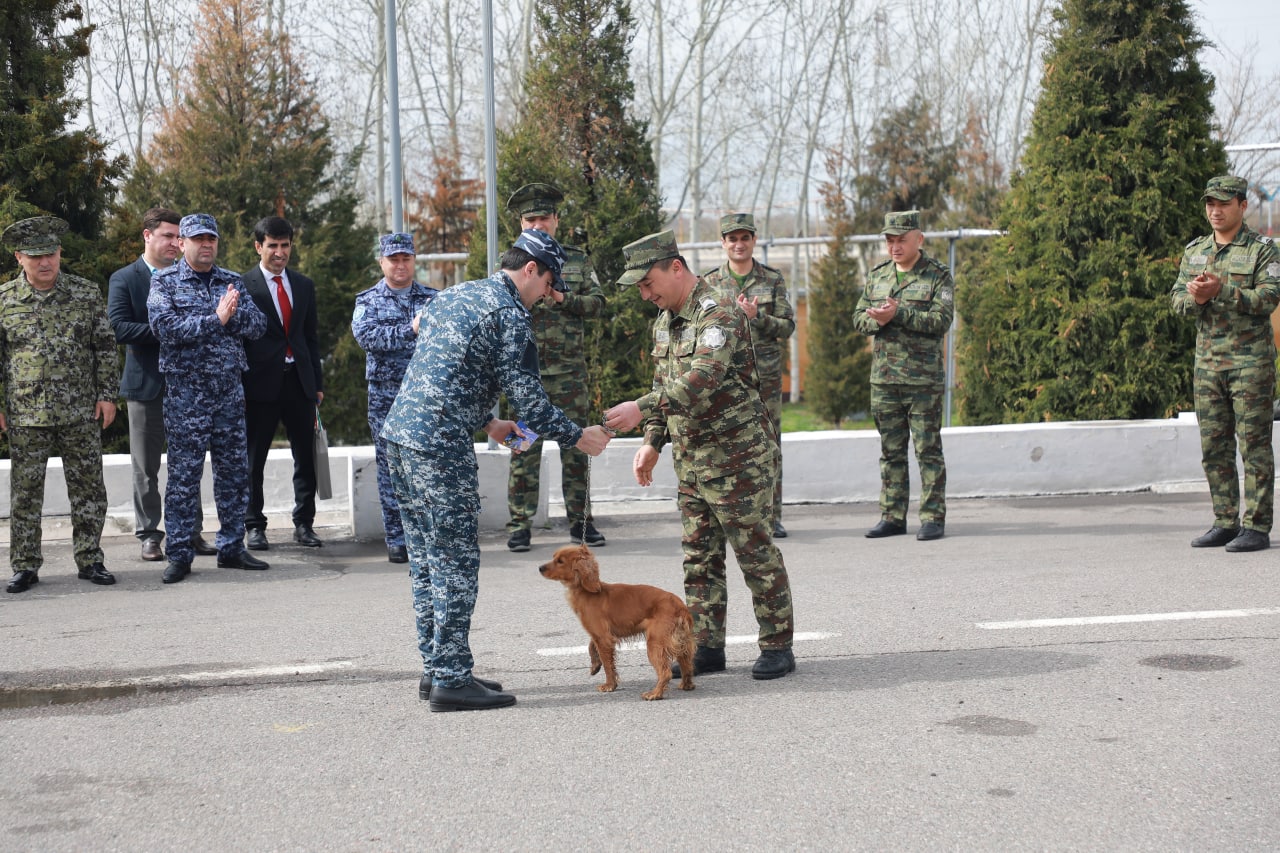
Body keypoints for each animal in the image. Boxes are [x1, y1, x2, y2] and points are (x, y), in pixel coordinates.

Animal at [540, 545, 701, 696]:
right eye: (553, 557)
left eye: (560, 561)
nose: (540, 568)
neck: (589, 592)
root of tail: (680, 606)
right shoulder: (601, 634)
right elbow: (591, 646)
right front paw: (595, 666)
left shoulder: (603, 638)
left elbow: (607, 665)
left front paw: (609, 686)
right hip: (680, 641)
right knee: (687, 665)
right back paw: (686, 685)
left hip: (655, 643)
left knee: (666, 672)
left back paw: (654, 694)